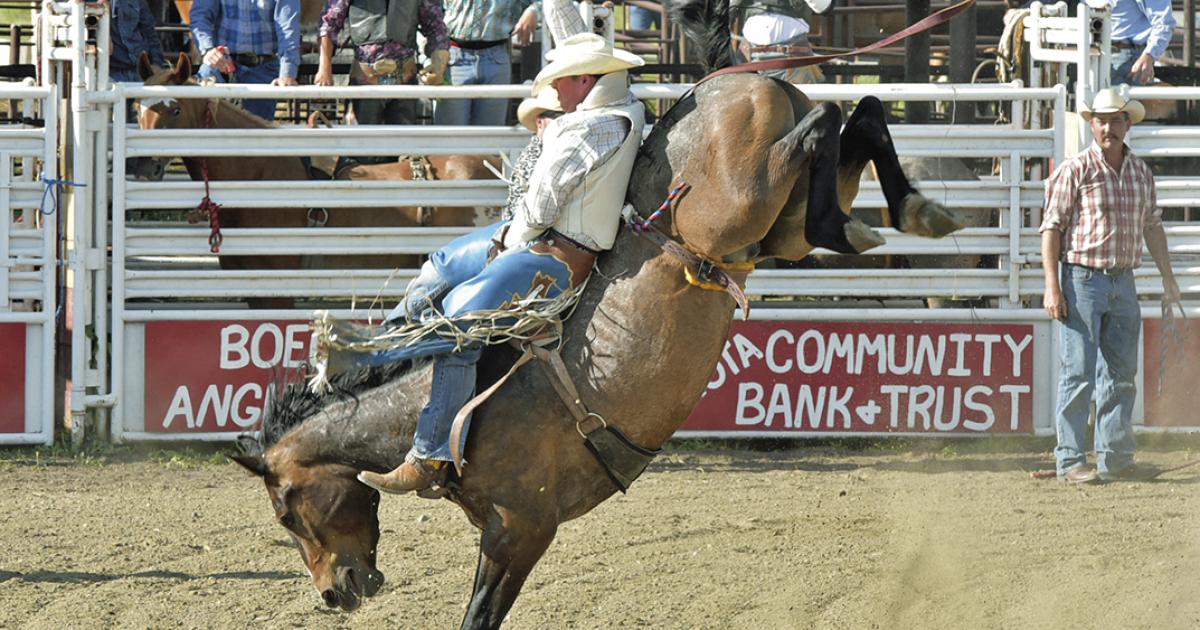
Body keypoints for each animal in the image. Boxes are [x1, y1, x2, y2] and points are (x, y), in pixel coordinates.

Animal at [226, 0, 964, 624]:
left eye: (286, 513)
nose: (334, 593)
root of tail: (721, 77)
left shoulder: (520, 528)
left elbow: (479, 614)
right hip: (779, 227)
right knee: (860, 116)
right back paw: (909, 212)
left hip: (746, 195)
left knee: (824, 125)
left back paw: (870, 221)